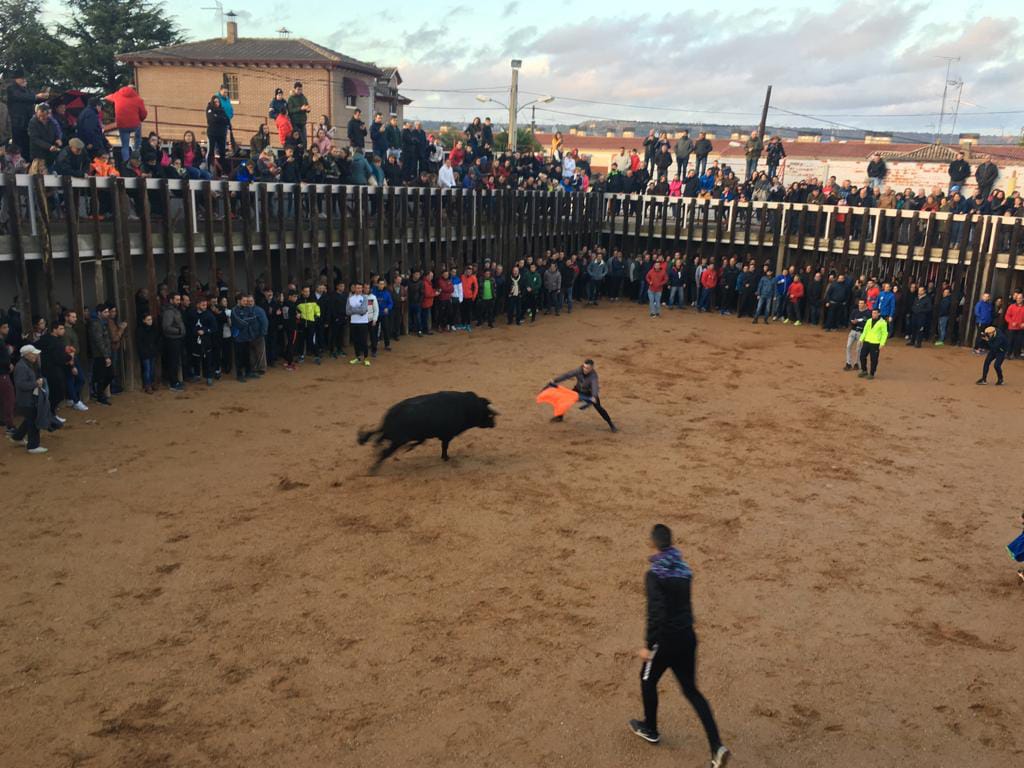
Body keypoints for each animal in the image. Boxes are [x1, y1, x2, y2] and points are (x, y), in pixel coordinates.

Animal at [358, 391, 497, 468]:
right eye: (489, 415)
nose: (494, 424)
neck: (467, 407)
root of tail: (389, 418)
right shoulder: (447, 435)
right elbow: (444, 447)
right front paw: (446, 458)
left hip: (390, 437)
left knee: (378, 440)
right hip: (396, 441)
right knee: (383, 451)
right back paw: (373, 469)